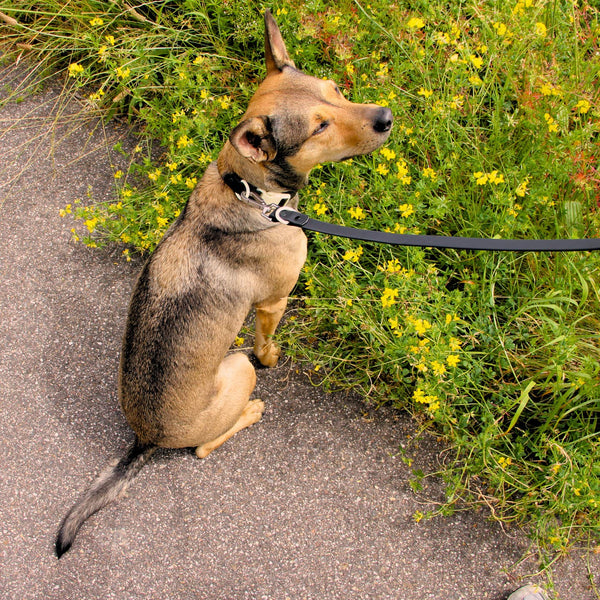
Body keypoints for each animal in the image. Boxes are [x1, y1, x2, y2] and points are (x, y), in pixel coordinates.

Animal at [56, 9, 392, 556]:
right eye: (319, 127)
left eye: (336, 90)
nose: (386, 118)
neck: (251, 192)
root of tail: (146, 438)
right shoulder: (274, 301)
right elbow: (267, 343)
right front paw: (274, 356)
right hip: (235, 368)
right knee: (204, 448)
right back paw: (250, 412)